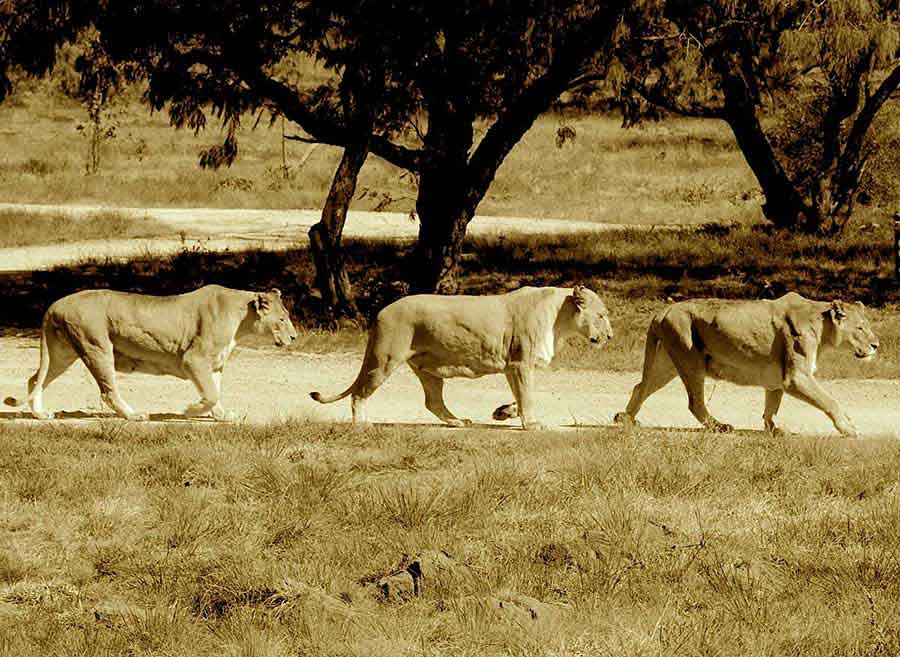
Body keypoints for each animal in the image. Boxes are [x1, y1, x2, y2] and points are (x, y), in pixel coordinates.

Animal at [5, 285, 297, 421]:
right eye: (282, 319)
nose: (294, 337)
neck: (241, 318)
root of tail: (55, 304)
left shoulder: (215, 363)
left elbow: (216, 393)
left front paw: (223, 416)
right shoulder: (194, 359)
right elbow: (211, 394)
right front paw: (191, 410)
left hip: (62, 353)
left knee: (35, 379)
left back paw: (40, 414)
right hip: (96, 346)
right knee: (107, 391)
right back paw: (134, 415)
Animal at [310, 285, 613, 429]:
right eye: (601, 315)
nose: (610, 337)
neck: (560, 319)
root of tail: (382, 311)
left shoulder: (513, 367)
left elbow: (523, 395)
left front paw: (504, 412)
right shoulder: (519, 363)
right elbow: (528, 396)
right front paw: (532, 424)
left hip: (428, 370)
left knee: (432, 402)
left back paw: (457, 422)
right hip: (384, 359)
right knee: (359, 393)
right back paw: (361, 424)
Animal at [612, 292, 878, 437]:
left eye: (867, 326)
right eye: (860, 328)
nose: (876, 345)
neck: (822, 326)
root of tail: (663, 311)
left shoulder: (777, 379)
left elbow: (771, 407)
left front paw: (774, 430)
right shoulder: (797, 377)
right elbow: (829, 400)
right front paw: (848, 427)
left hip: (667, 363)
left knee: (641, 387)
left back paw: (627, 420)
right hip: (689, 358)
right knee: (694, 403)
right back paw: (718, 427)